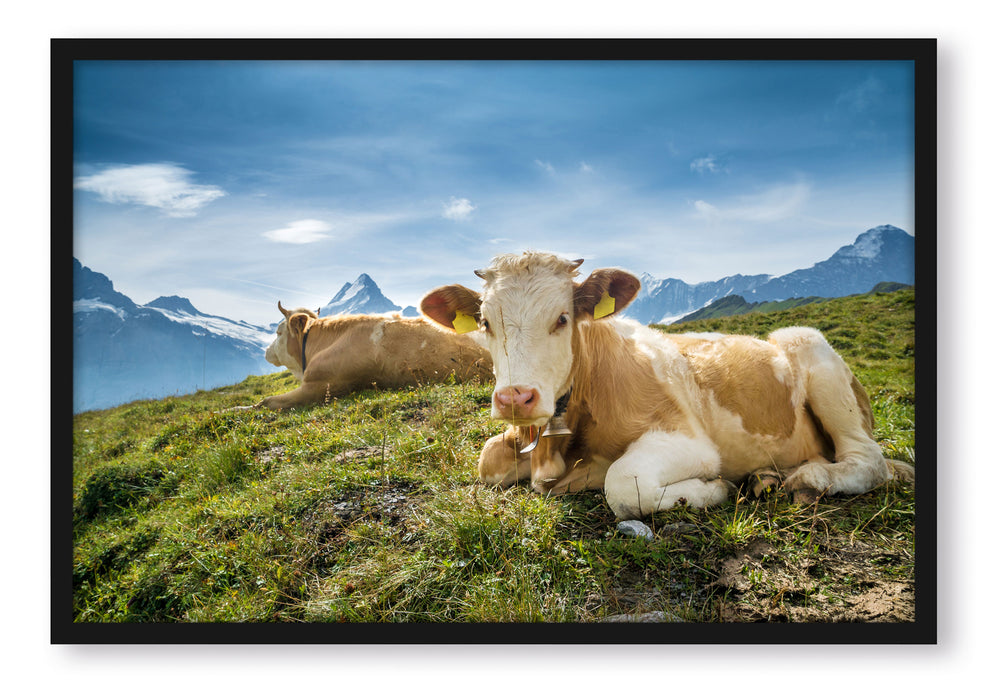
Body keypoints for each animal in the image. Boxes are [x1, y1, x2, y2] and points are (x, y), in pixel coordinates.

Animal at [418, 252, 916, 520]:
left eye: (562, 318)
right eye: (485, 321)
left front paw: (713, 490)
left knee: (867, 461)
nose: (515, 398)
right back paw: (767, 478)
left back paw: (807, 478)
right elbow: (487, 458)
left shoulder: (689, 440)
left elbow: (623, 483)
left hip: (810, 347)